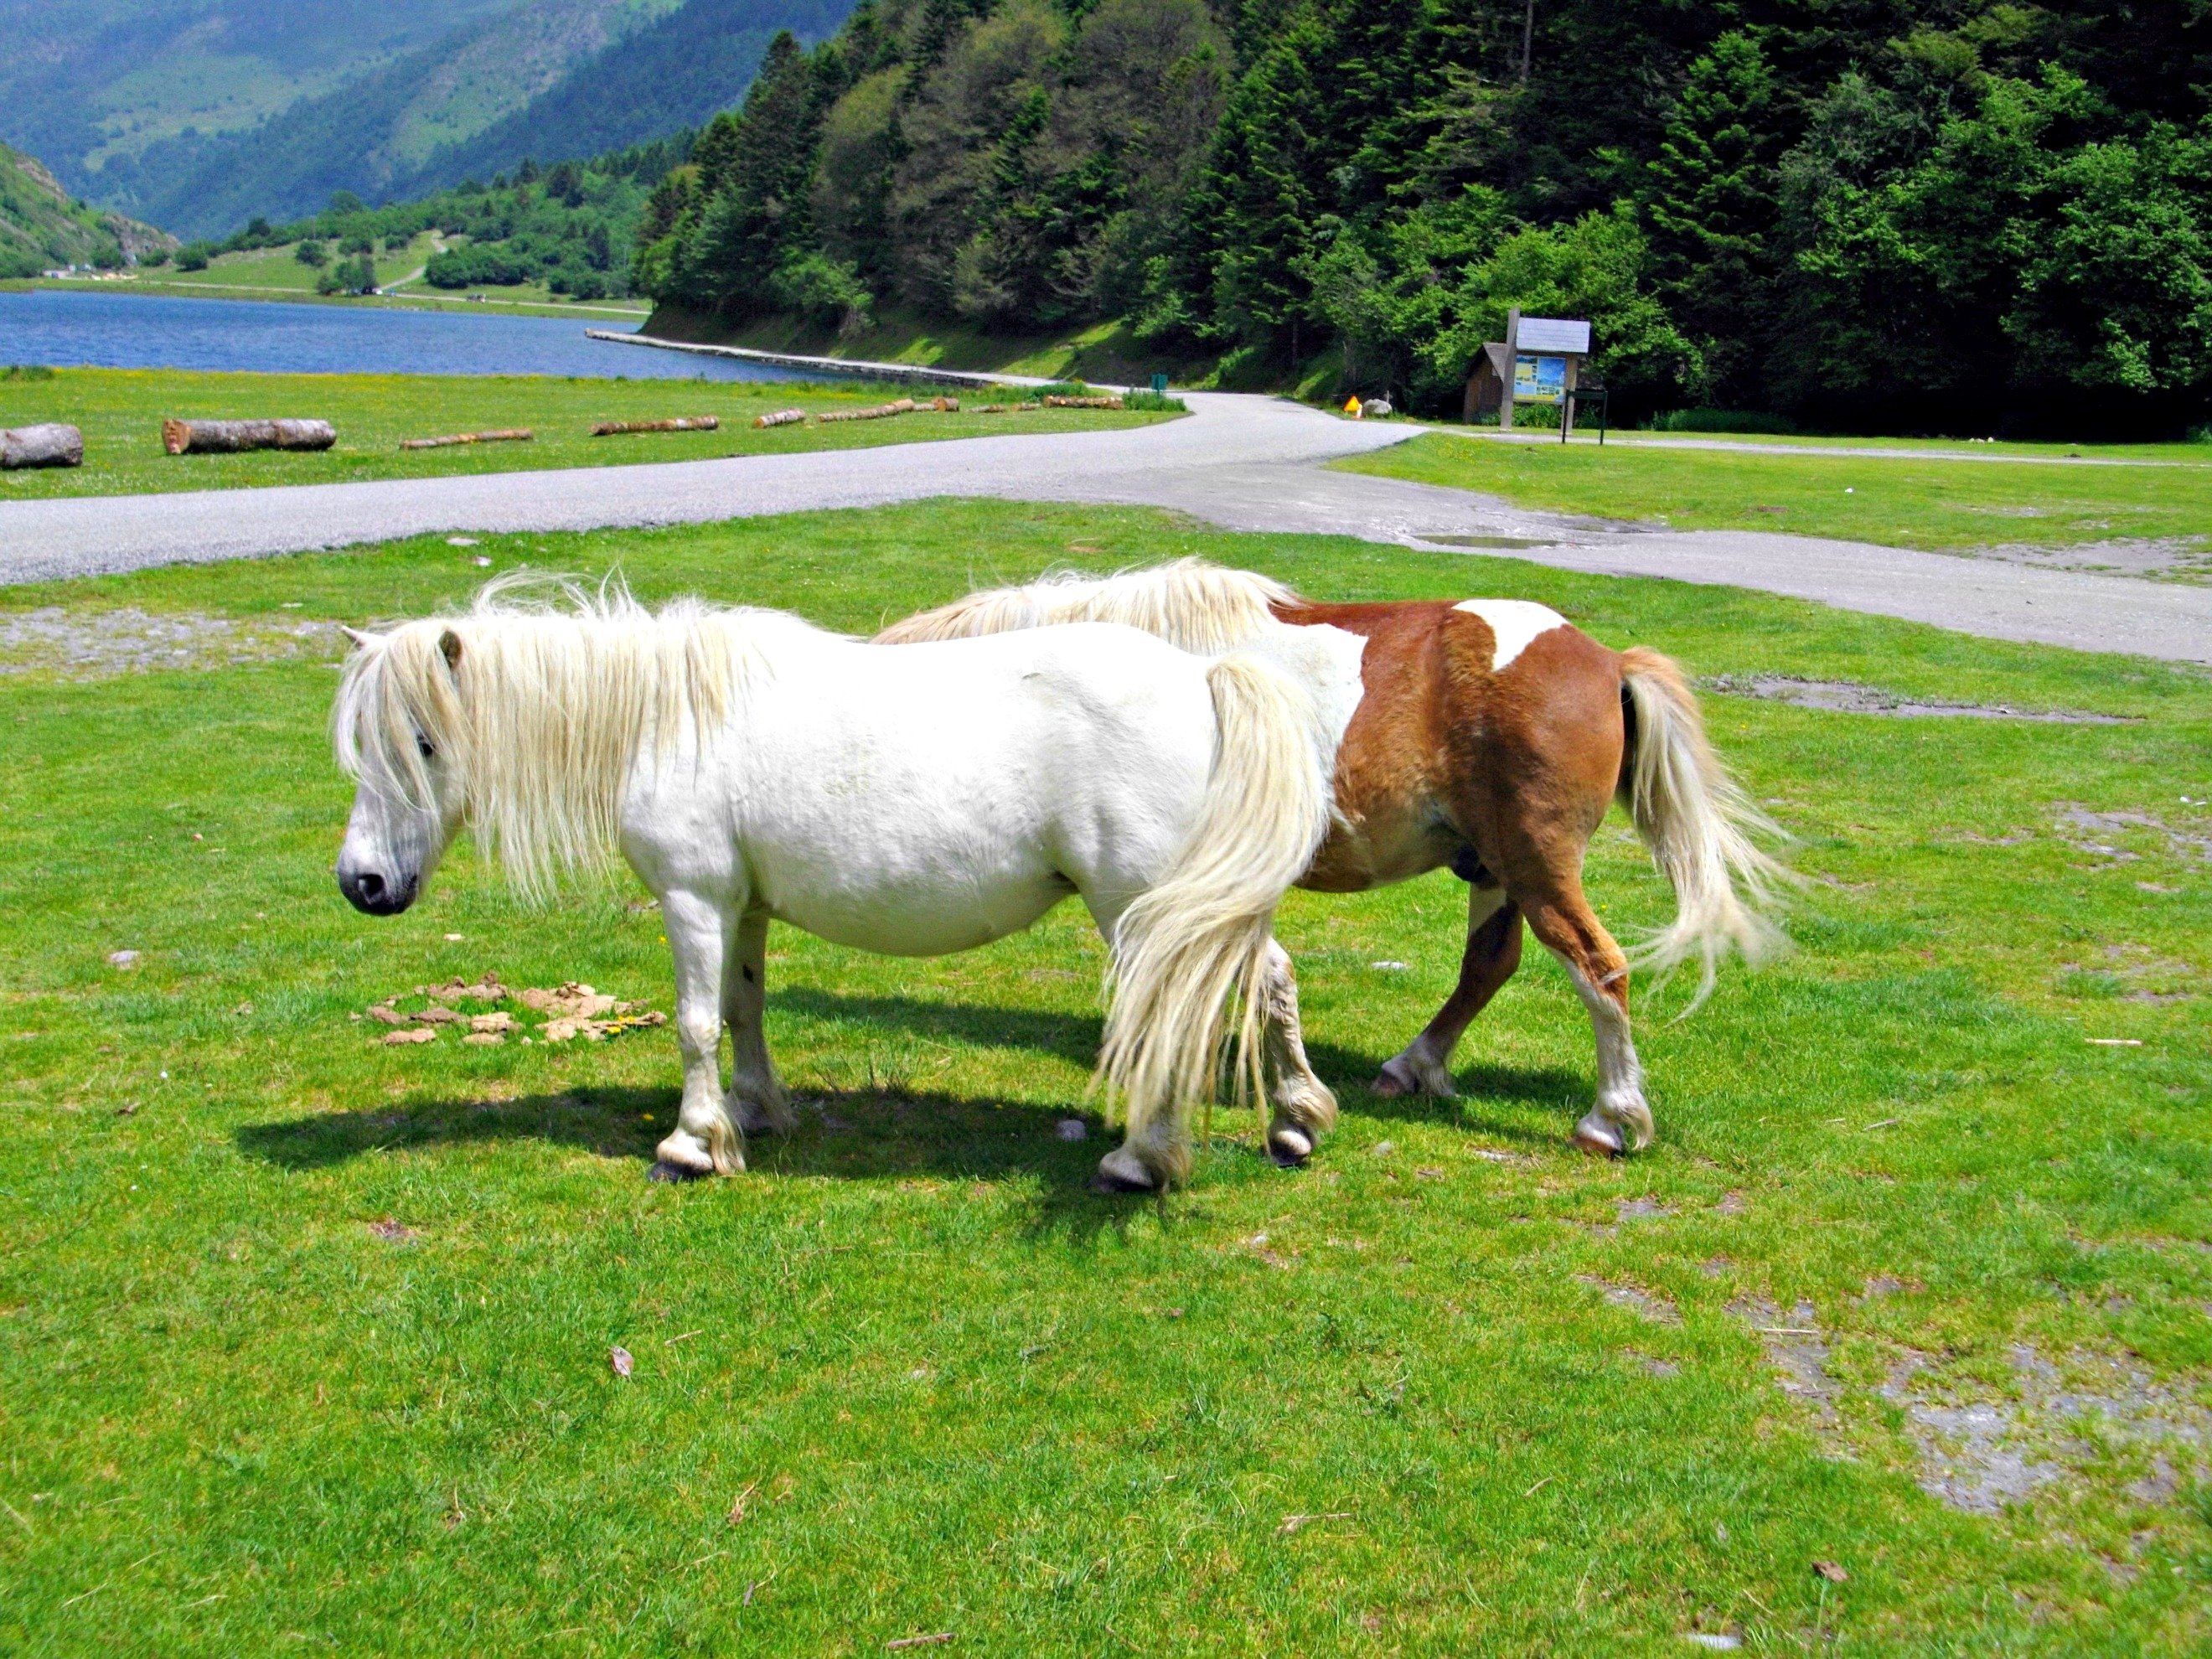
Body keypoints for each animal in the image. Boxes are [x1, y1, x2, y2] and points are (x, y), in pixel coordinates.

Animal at [325, 583, 1327, 1194]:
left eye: (422, 743)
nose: (362, 883)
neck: (666, 718)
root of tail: (1202, 674)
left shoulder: (693, 902)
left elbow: (694, 1022)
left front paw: (691, 1144)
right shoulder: (741, 908)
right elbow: (741, 1010)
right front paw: (754, 1114)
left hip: (1140, 907)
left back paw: (1141, 1159)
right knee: (1269, 977)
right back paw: (1294, 1122)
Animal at [871, 566, 1787, 1159]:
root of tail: (1606, 662)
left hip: (1534, 861)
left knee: (1599, 969)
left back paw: (1612, 1117)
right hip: (1495, 868)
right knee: (1489, 966)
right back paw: (1414, 1066)